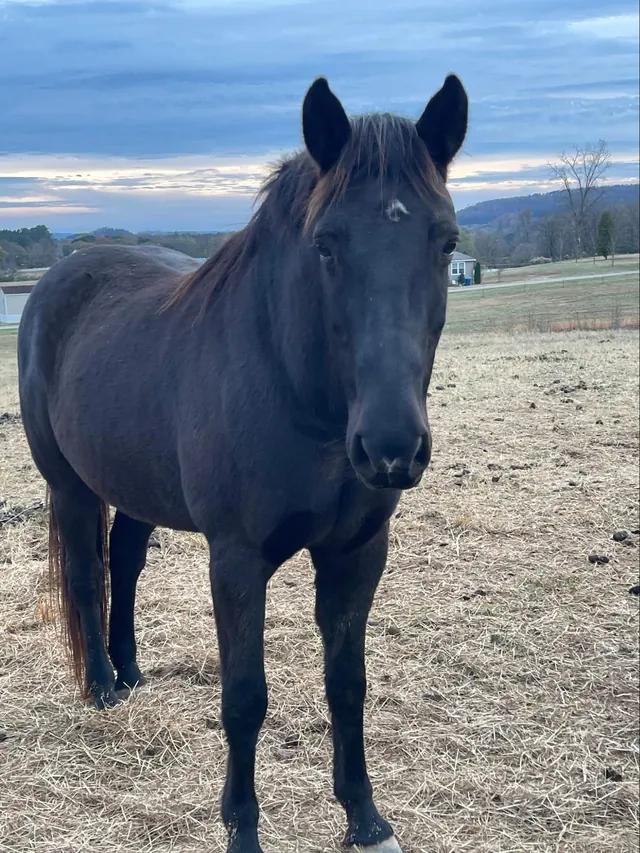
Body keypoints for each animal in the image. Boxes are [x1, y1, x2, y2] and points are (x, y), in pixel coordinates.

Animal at [18, 74, 468, 853]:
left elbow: (347, 684)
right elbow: (245, 699)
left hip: (136, 487)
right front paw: (243, 829)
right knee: (84, 572)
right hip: (69, 485)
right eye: (325, 244)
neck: (298, 393)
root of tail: (56, 278)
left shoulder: (358, 552)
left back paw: (131, 672)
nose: (390, 447)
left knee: (124, 565)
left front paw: (365, 818)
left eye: (446, 242)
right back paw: (102, 687)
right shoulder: (235, 558)